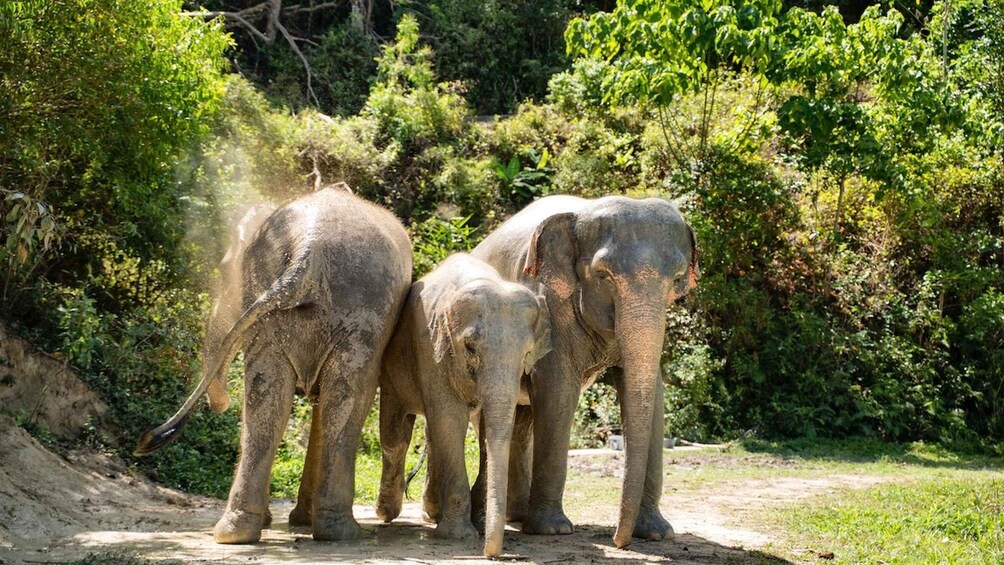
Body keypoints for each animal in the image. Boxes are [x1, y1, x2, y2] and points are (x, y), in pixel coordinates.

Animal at [134, 187, 413, 544]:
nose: (220, 402)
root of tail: (308, 254)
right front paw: (299, 522)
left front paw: (298, 522)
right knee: (330, 402)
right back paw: (336, 533)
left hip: (350, 309)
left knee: (281, 400)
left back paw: (242, 532)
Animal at [375, 253, 550, 557]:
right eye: (469, 347)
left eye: (528, 352)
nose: (491, 554)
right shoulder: (430, 348)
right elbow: (450, 420)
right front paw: (459, 536)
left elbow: (482, 428)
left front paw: (475, 525)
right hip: (392, 369)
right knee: (395, 434)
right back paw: (387, 513)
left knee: (429, 434)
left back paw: (433, 513)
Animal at [471, 195, 698, 549]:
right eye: (603, 275)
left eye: (676, 279)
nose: (618, 542)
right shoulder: (547, 302)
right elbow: (557, 388)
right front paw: (552, 530)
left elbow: (653, 397)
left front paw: (658, 533)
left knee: (522, 417)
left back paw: (516, 516)